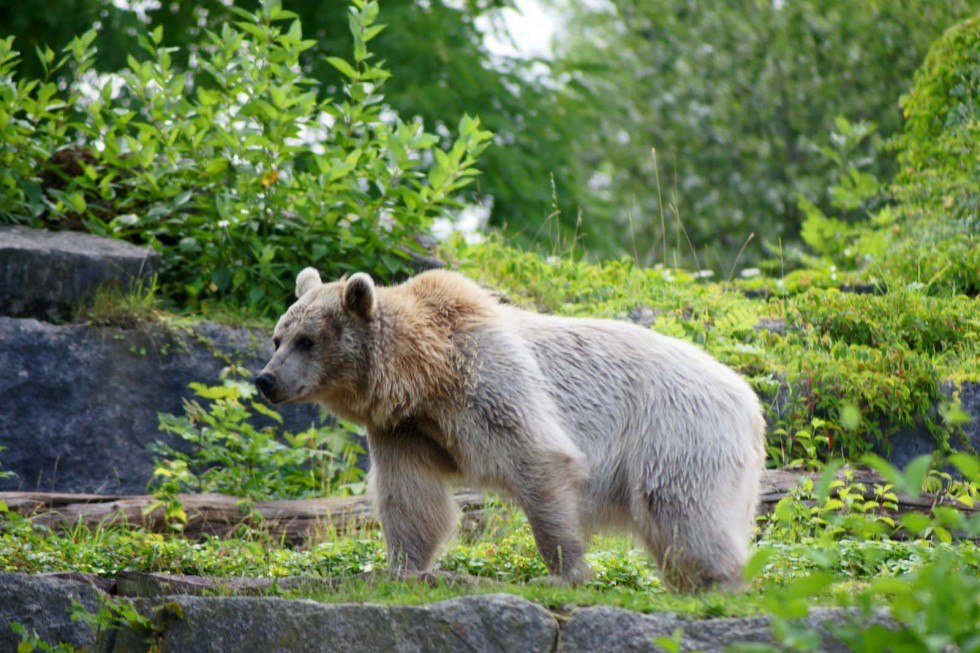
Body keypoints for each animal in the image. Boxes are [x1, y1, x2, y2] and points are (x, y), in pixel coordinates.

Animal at [253, 268, 764, 588]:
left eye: (306, 340)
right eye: (278, 338)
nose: (266, 379)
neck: (425, 375)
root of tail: (749, 400)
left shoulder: (488, 381)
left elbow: (539, 458)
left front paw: (564, 571)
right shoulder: (404, 427)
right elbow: (410, 496)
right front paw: (400, 567)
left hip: (678, 431)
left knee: (684, 509)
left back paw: (720, 580)